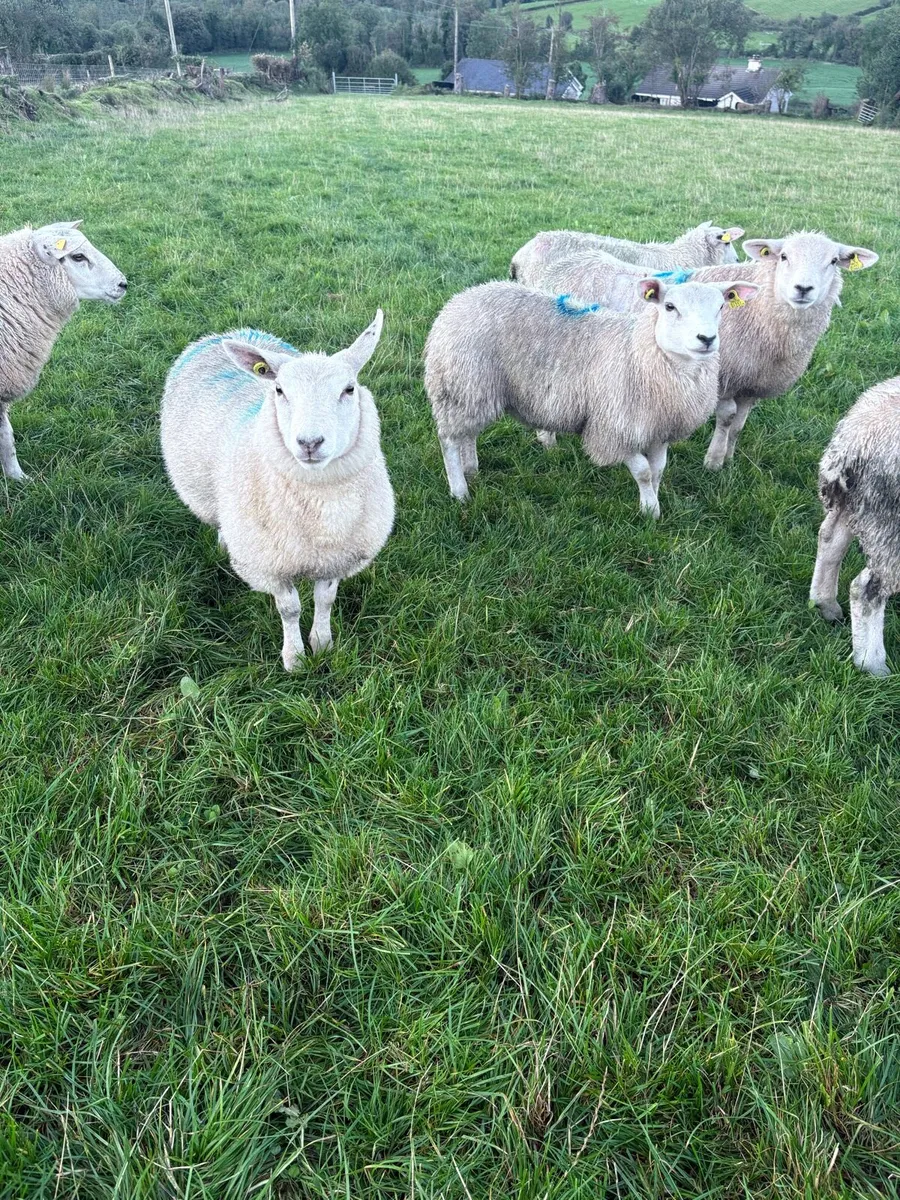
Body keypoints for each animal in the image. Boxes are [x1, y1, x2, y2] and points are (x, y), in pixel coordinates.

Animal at [160, 312, 394, 671]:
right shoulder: (270, 564)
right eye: (280, 390)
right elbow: (290, 609)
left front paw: (322, 643)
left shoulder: (336, 558)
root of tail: (229, 333)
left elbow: (325, 600)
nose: (310, 442)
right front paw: (294, 657)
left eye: (349, 389)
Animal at [424, 276, 758, 518]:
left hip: (473, 390)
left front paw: (653, 502)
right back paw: (460, 490)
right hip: (461, 383)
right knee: (449, 439)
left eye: (721, 307)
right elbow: (642, 471)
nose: (707, 339)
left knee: (468, 433)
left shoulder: (659, 428)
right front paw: (649, 512)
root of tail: (458, 300)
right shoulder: (614, 428)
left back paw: (471, 470)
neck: (640, 352)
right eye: (670, 306)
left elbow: (658, 470)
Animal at [527, 232, 879, 468]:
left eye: (833, 261)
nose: (803, 289)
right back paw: (549, 441)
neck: (760, 311)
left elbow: (739, 424)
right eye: (783, 257)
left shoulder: (752, 383)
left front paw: (729, 458)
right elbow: (726, 419)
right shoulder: (723, 377)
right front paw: (713, 461)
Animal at [809, 376, 900, 676]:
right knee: (865, 590)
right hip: (890, 528)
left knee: (829, 538)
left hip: (859, 507)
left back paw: (825, 605)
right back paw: (873, 665)